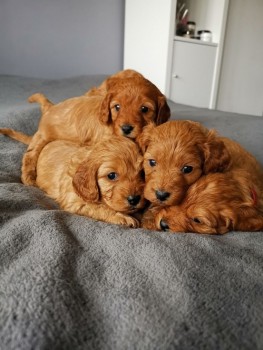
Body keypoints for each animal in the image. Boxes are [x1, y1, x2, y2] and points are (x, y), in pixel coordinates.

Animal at [0, 129, 145, 227]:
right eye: (111, 176)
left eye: (142, 173)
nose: (134, 199)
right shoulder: (75, 203)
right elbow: (100, 208)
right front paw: (123, 217)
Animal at [15, 69, 171, 187]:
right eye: (117, 107)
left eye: (144, 109)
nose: (126, 128)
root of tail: (50, 107)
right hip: (42, 137)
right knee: (30, 155)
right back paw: (28, 178)